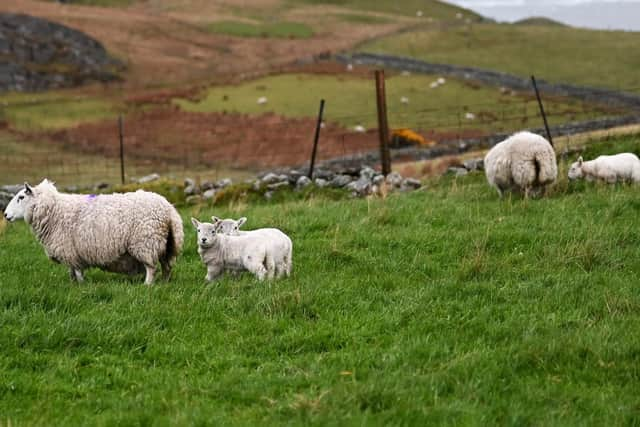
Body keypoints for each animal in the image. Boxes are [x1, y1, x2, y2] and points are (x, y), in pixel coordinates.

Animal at [3, 179, 182, 286]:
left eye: (21, 197)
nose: (5, 215)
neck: (54, 210)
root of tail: (168, 209)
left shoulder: (71, 251)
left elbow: (77, 271)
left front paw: (81, 286)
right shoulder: (70, 253)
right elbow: (71, 271)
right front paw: (72, 285)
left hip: (145, 243)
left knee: (151, 268)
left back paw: (147, 285)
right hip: (166, 244)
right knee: (166, 266)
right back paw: (164, 283)